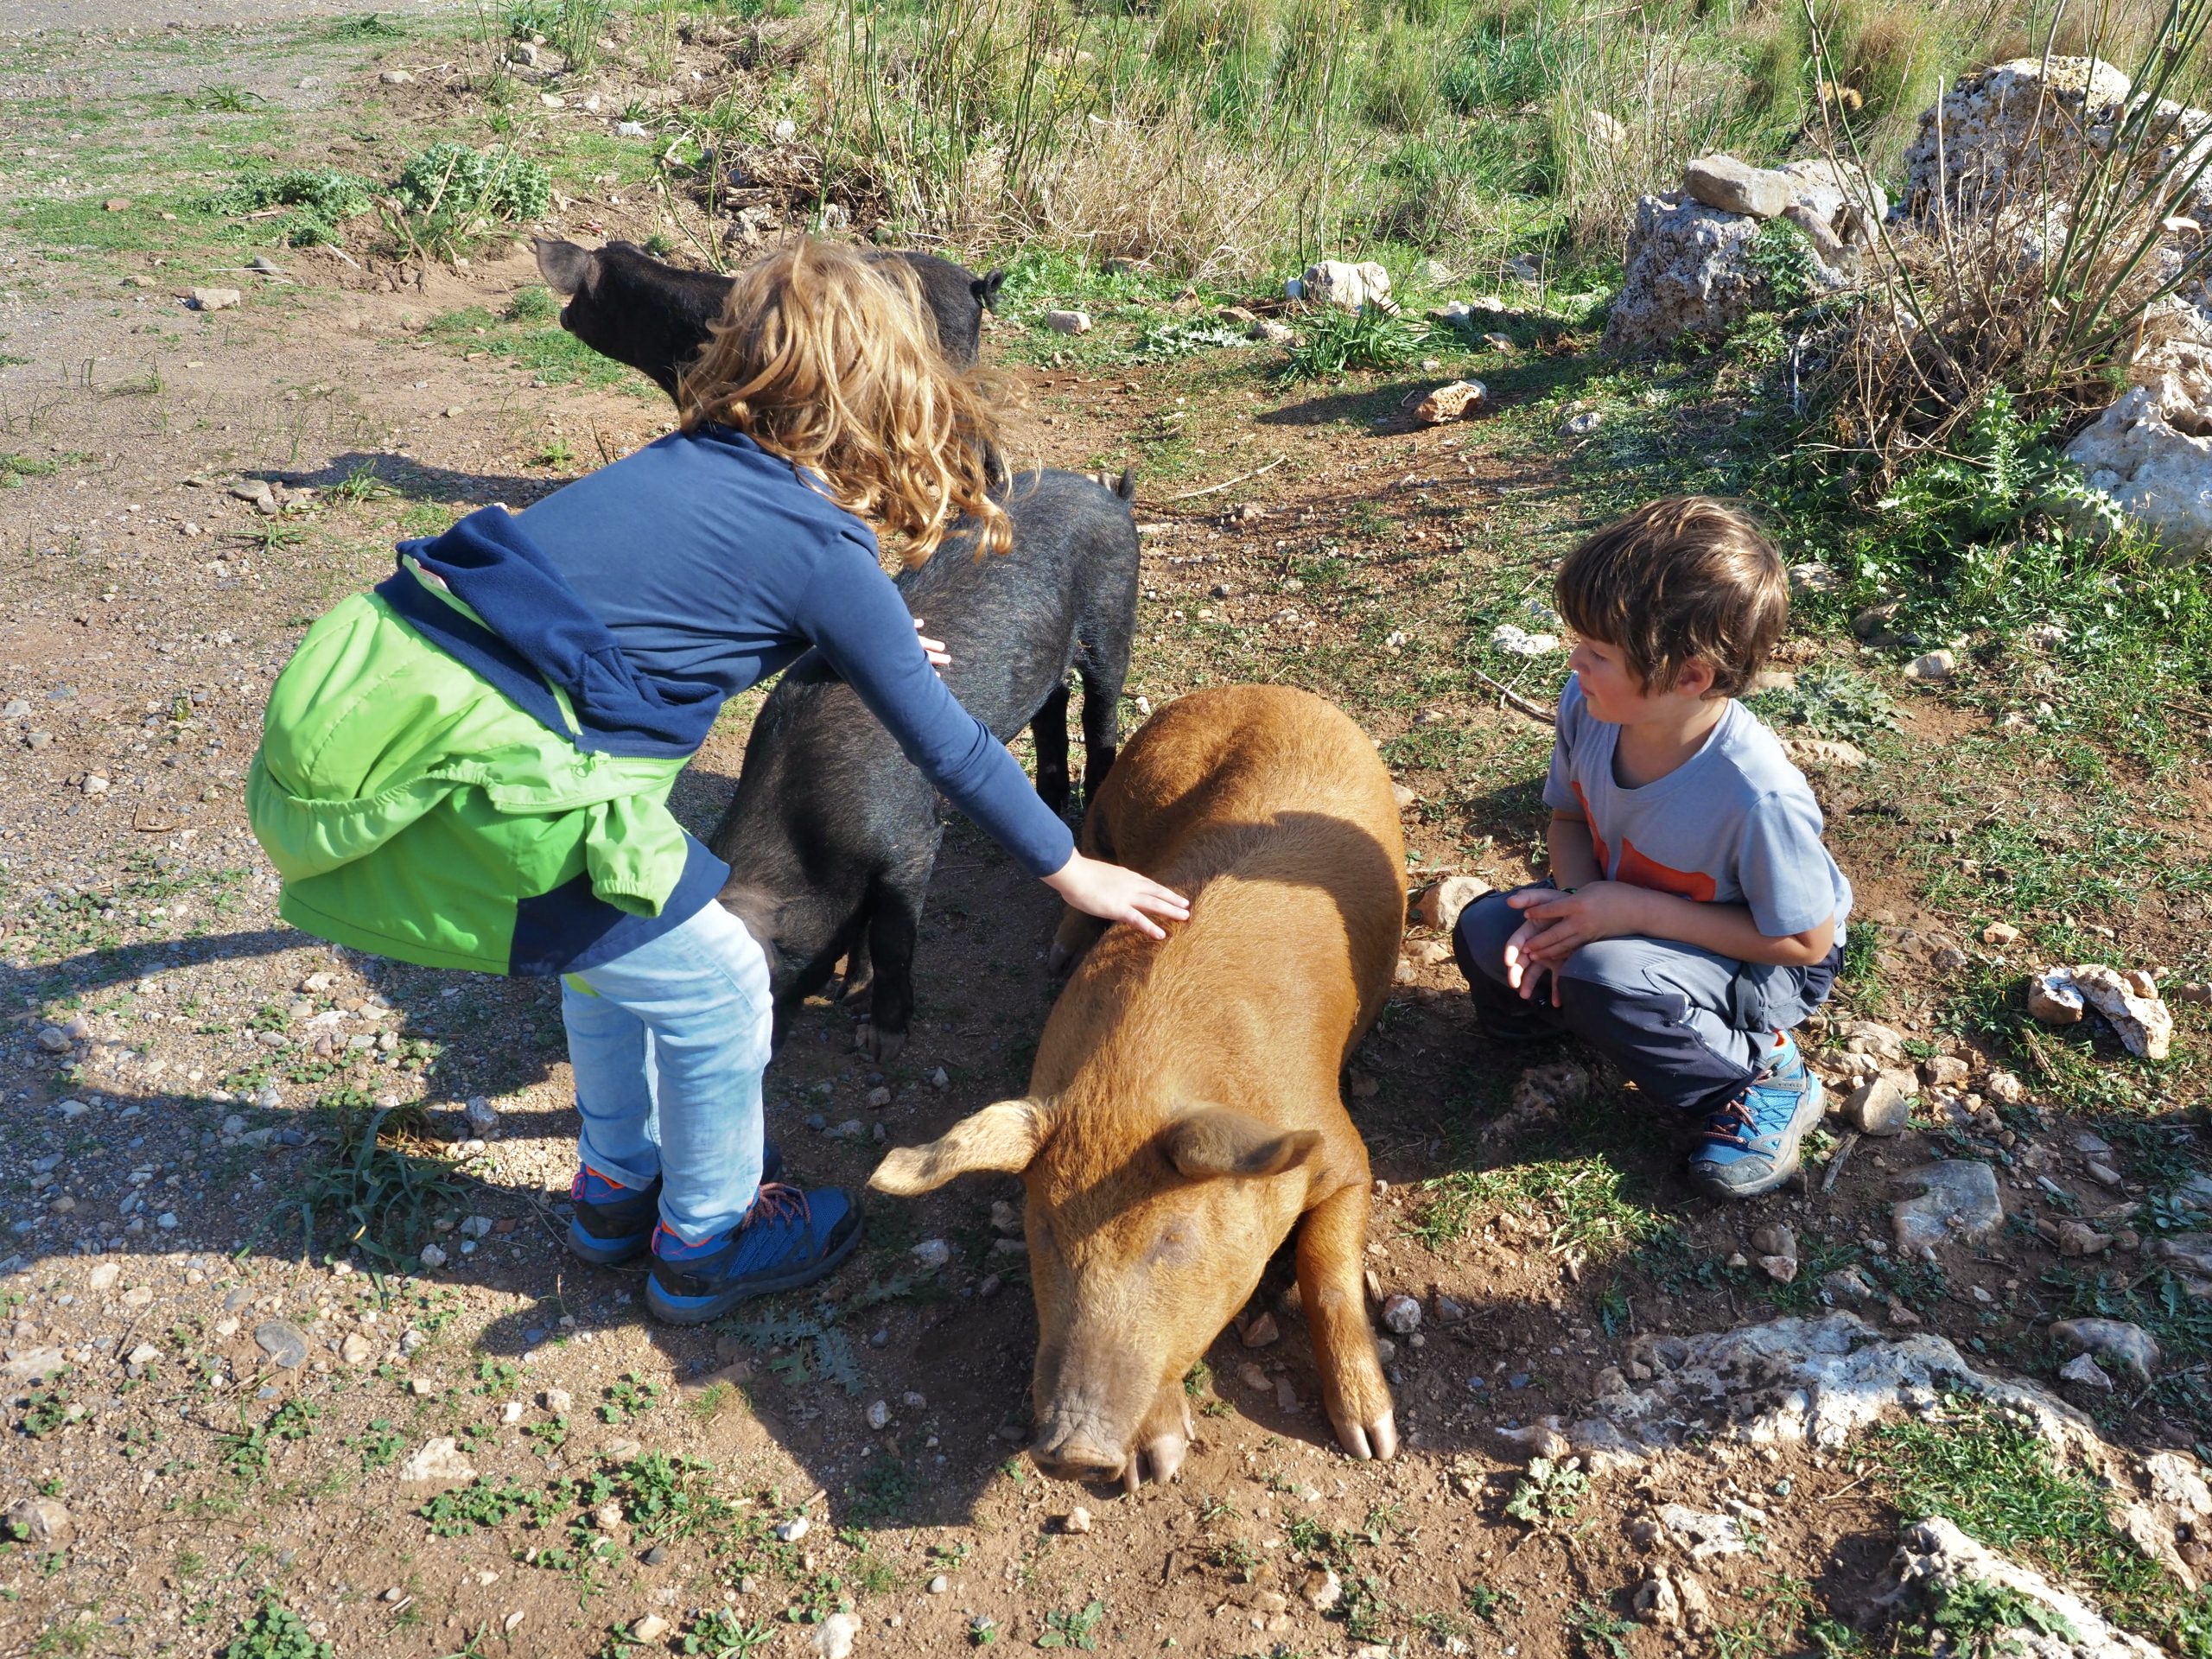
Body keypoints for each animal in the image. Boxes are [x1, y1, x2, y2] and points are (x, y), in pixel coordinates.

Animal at [712, 468, 1141, 1065]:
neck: (804, 837)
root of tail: (1108, 496)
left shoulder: (911, 844)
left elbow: (892, 937)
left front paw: (880, 1043)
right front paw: (849, 994)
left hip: (1112, 613)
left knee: (1101, 710)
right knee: (1051, 708)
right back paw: (1050, 805)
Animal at [867, 681, 1397, 1486]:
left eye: (1172, 1239)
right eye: (1044, 1232)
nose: (1073, 1453)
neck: (1135, 1083)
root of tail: (1254, 690)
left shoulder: (1344, 1149)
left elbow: (1329, 1270)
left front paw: (1373, 1440)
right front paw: (1161, 1460)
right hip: (1112, 804)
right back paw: (1055, 955)